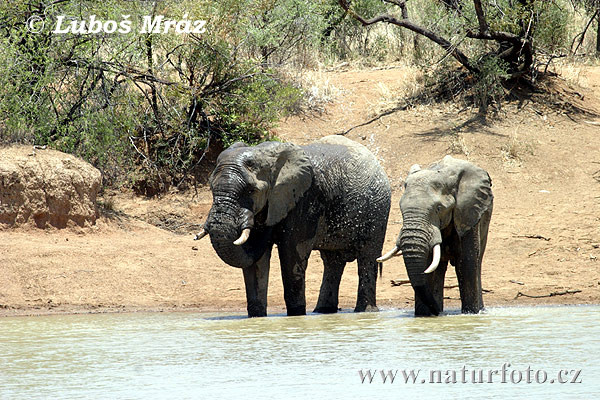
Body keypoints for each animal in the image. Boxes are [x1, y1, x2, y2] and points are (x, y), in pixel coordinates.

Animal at [197, 136, 392, 318]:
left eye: (251, 190)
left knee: (368, 256)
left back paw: (365, 311)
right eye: (211, 188)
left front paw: (296, 315)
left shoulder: (304, 199)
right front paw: (256, 317)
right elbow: (255, 260)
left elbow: (292, 254)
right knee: (332, 262)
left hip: (377, 209)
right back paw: (323, 311)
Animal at [378, 155, 494, 316]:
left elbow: (466, 262)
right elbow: (428, 266)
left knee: (478, 261)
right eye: (401, 209)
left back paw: (480, 310)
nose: (438, 313)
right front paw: (423, 315)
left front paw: (470, 314)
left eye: (438, 208)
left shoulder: (467, 212)